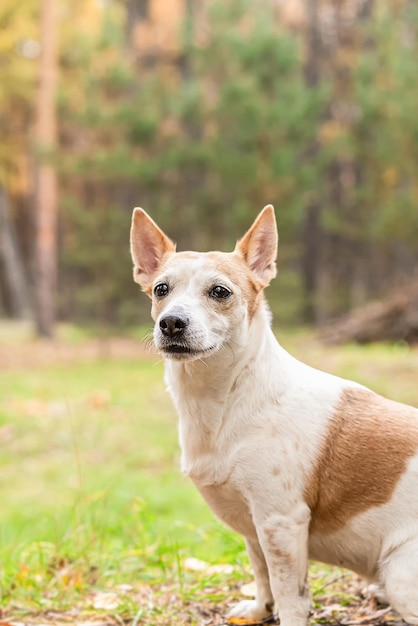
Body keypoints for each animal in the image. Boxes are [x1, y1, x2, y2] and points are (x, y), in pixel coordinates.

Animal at [131, 206, 418, 624]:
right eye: (160, 289)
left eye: (220, 292)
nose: (170, 322)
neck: (227, 397)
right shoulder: (255, 524)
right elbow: (260, 571)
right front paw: (259, 609)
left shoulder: (279, 522)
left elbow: (289, 592)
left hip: (399, 574)